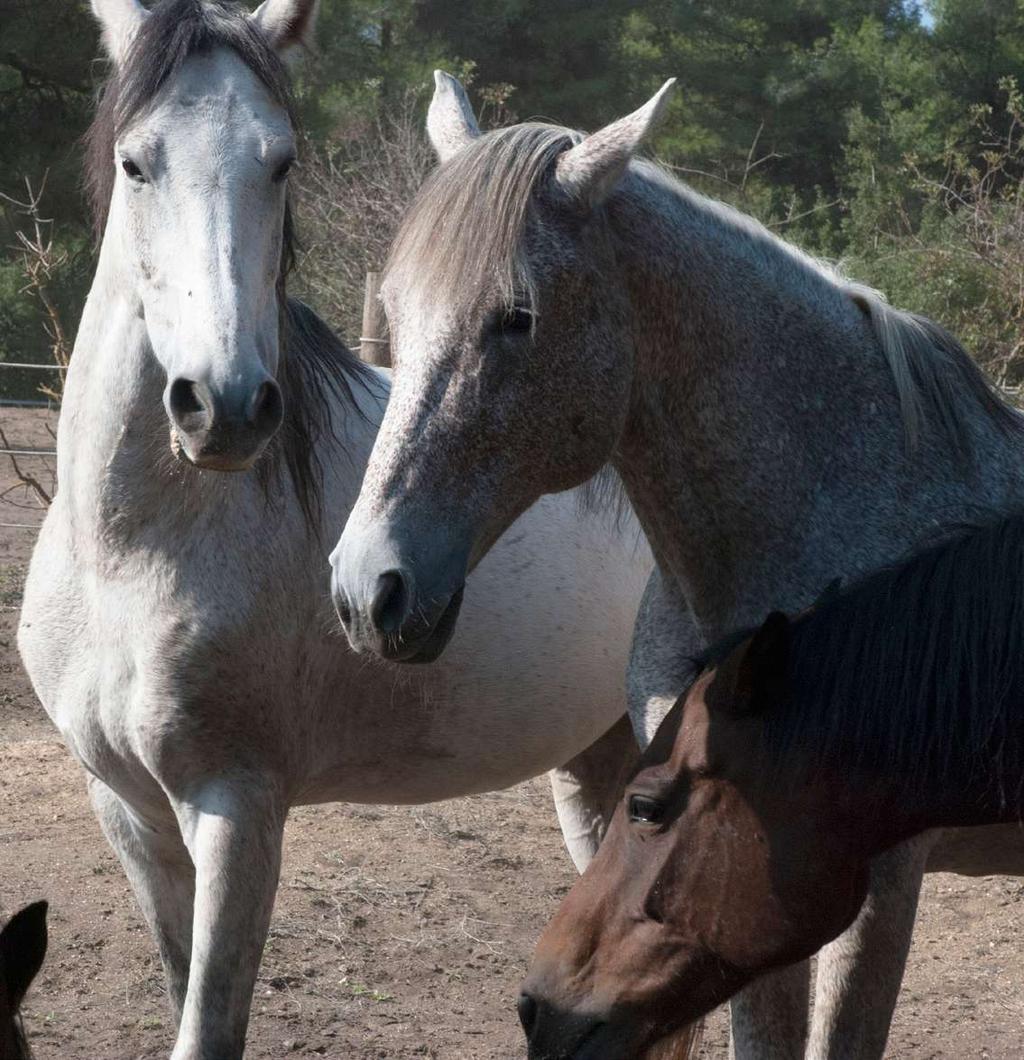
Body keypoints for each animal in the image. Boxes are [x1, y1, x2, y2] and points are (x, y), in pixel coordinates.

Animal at [18, 4, 657, 1055]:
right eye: (134, 162)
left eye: (281, 162)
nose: (225, 407)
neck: (130, 552)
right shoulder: (127, 812)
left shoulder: (237, 811)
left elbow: (209, 1023)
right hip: (597, 759)